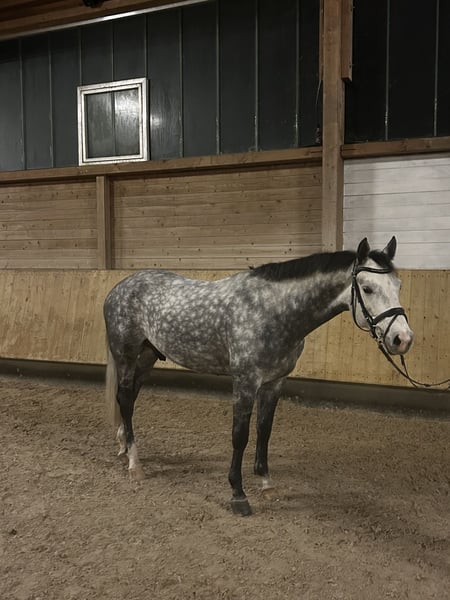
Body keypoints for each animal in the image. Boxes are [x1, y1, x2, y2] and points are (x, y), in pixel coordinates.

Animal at [104, 236, 414, 516]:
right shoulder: (245, 382)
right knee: (125, 399)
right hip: (126, 356)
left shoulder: (275, 382)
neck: (272, 311)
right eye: (367, 288)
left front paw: (266, 483)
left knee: (130, 397)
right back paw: (134, 463)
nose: (402, 339)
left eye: (398, 286)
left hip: (147, 356)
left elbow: (264, 430)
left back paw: (123, 446)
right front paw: (238, 494)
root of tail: (117, 288)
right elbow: (239, 435)